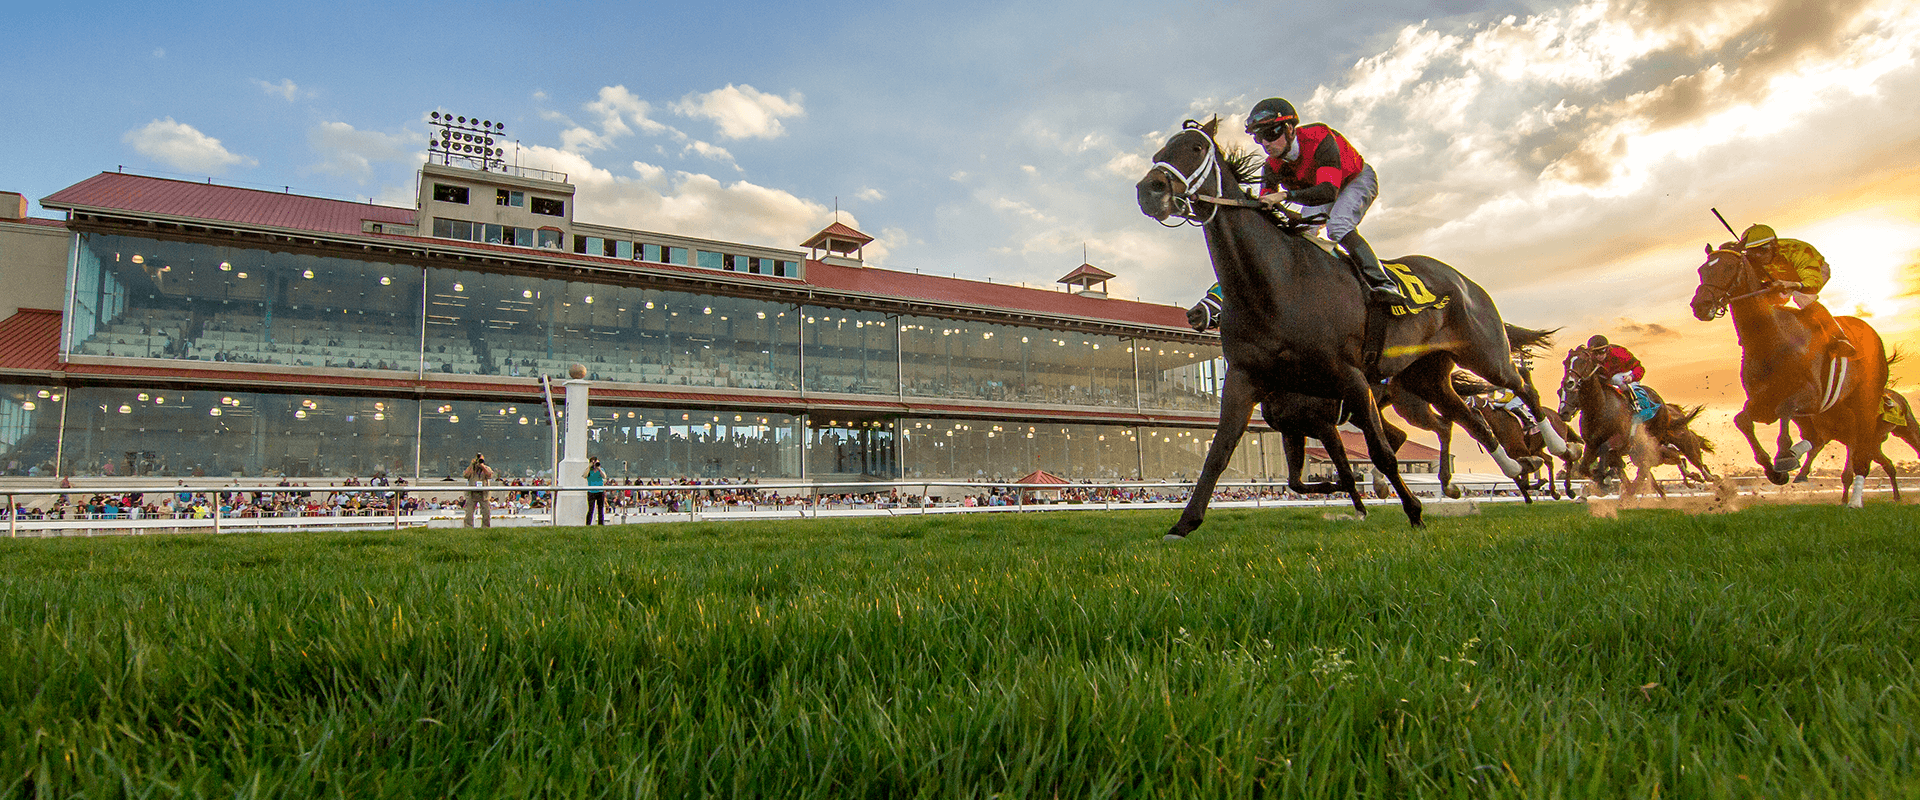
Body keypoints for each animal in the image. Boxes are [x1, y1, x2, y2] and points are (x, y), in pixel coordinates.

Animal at [1136, 117, 1559, 537]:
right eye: (1157, 155)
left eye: (1195, 148)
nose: (1148, 190)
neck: (1277, 283)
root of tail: (1463, 280)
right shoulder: (1247, 381)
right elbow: (1219, 453)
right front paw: (1184, 523)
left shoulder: (1348, 381)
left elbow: (1379, 453)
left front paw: (1412, 511)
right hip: (1425, 378)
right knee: (1470, 419)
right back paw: (1510, 468)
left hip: (1482, 352)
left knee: (1521, 387)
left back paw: (1554, 446)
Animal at [1689, 244, 1881, 506]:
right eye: (1701, 270)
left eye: (1728, 267)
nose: (1700, 305)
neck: (1770, 337)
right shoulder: (1762, 402)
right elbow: (1742, 420)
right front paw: (1773, 470)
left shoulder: (1811, 395)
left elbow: (1784, 410)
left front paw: (1783, 457)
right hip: (1832, 409)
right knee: (1817, 436)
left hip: (1863, 403)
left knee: (1859, 446)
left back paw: (1854, 501)